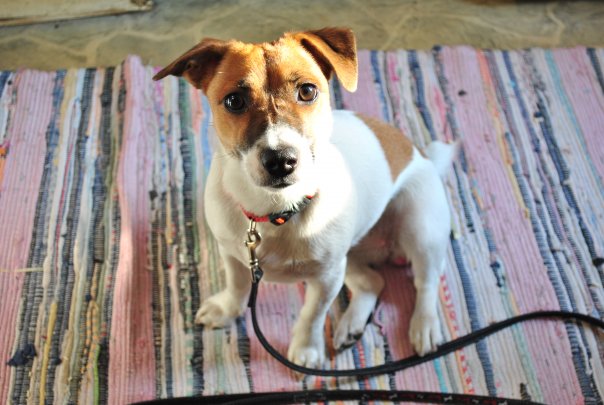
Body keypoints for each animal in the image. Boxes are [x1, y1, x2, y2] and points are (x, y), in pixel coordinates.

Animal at [153, 27, 455, 368]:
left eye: (308, 91)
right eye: (234, 100)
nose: (280, 160)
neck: (276, 210)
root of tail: (421, 154)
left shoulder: (327, 277)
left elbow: (313, 314)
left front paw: (306, 351)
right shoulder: (233, 254)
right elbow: (237, 286)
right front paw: (226, 309)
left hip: (421, 229)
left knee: (426, 282)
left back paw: (424, 325)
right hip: (351, 255)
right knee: (372, 282)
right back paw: (351, 325)